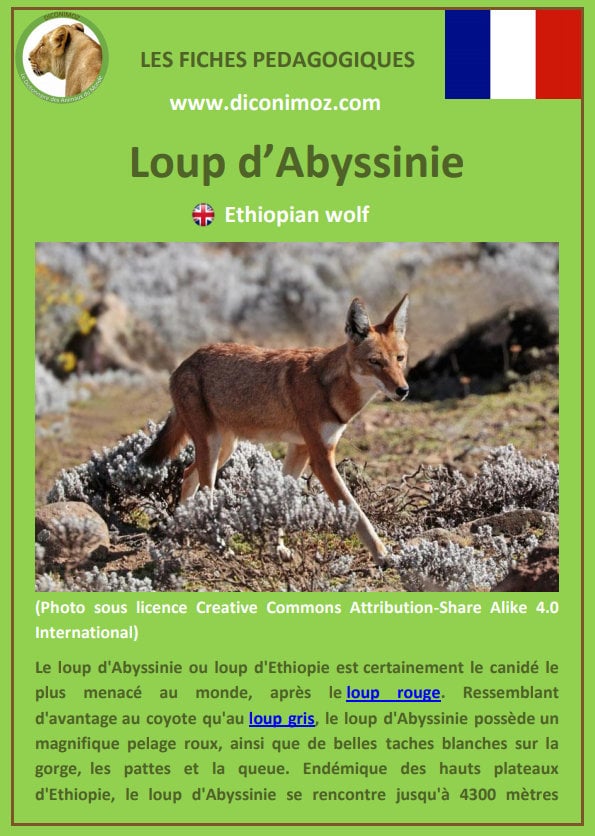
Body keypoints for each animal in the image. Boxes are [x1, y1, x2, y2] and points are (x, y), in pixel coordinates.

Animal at [140, 295, 409, 563]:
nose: (403, 390)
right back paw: (219, 546)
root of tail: (183, 363)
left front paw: (277, 548)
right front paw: (382, 554)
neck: (329, 388)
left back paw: (183, 534)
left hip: (224, 449)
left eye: (400, 358)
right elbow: (356, 511)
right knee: (205, 492)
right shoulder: (321, 460)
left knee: (187, 474)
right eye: (375, 361)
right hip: (213, 448)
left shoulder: (300, 449)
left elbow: (282, 499)